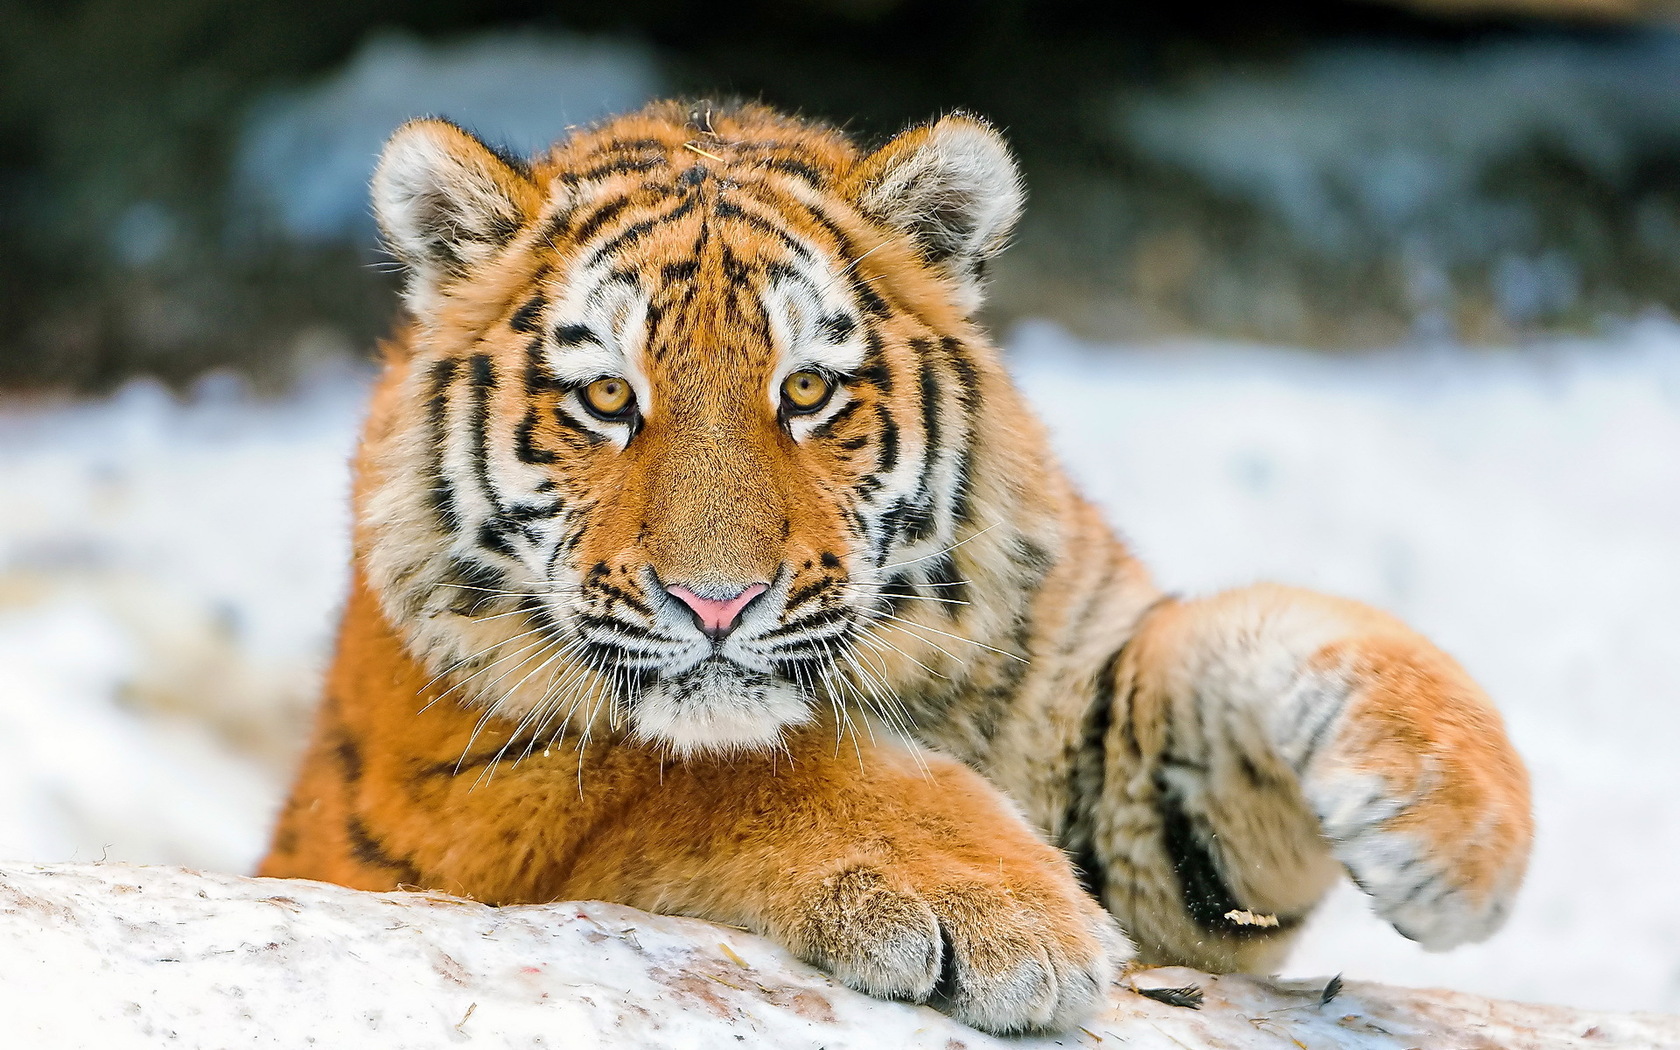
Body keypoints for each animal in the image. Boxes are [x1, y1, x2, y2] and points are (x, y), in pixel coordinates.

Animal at [262, 98, 1538, 1034]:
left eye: (808, 390)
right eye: (609, 400)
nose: (717, 602)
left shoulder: (1108, 750)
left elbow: (1267, 632)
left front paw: (1458, 823)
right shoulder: (467, 797)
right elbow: (717, 769)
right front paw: (995, 911)